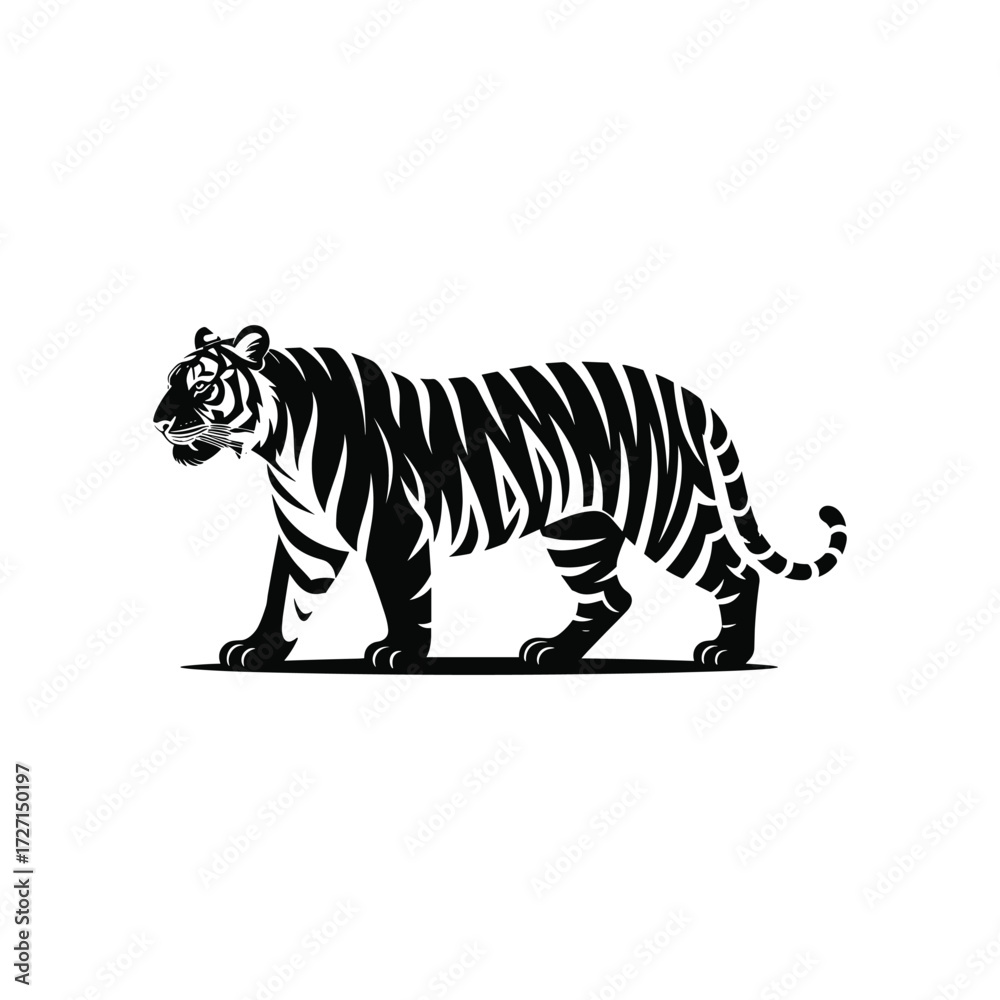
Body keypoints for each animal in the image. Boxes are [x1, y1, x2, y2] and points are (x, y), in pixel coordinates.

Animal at [153, 325, 846, 670]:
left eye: (203, 385)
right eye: (169, 381)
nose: (158, 422)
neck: (280, 444)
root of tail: (686, 392)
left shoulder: (396, 530)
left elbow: (405, 597)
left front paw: (400, 653)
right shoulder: (306, 536)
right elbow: (285, 597)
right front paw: (257, 651)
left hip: (664, 514)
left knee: (733, 572)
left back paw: (728, 653)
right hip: (578, 529)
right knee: (610, 597)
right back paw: (553, 653)